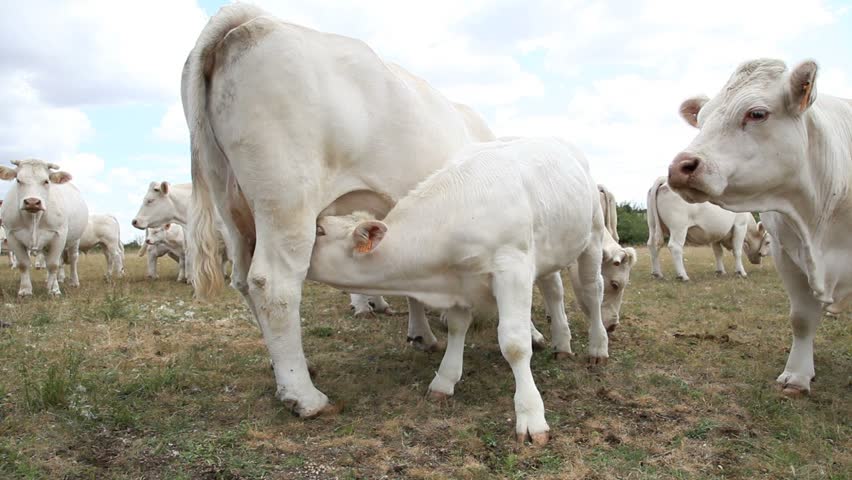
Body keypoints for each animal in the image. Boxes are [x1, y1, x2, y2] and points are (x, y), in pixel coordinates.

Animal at [0, 159, 88, 296]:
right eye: (18, 180)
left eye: (46, 181)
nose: (32, 202)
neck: (34, 217)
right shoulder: (12, 235)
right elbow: (23, 264)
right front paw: (25, 290)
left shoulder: (59, 235)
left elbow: (53, 264)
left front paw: (54, 290)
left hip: (75, 240)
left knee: (73, 259)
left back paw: (74, 282)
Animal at [186, 4, 510, 418]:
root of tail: (251, 22)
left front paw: (421, 334)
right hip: (286, 199)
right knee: (273, 284)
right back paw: (303, 395)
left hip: (232, 205)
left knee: (243, 281)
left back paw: (287, 368)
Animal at [309, 137, 608, 445]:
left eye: (320, 230)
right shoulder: (458, 280)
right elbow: (456, 327)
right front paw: (444, 380)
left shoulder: (512, 267)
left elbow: (514, 344)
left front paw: (530, 414)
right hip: (549, 253)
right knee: (554, 291)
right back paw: (562, 344)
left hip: (593, 236)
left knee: (592, 291)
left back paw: (598, 347)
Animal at [667, 58, 852, 396]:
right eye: (702, 120)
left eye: (756, 114)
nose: (679, 167)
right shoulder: (787, 255)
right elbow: (801, 318)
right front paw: (797, 376)